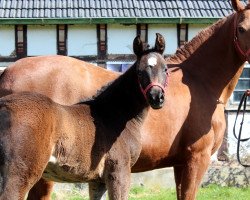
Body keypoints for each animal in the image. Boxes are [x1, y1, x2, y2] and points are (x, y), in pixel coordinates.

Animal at [0, 33, 168, 199]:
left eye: (165, 69)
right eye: (139, 71)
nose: (156, 97)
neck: (113, 114)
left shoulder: (97, 181)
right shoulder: (119, 171)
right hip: (20, 173)